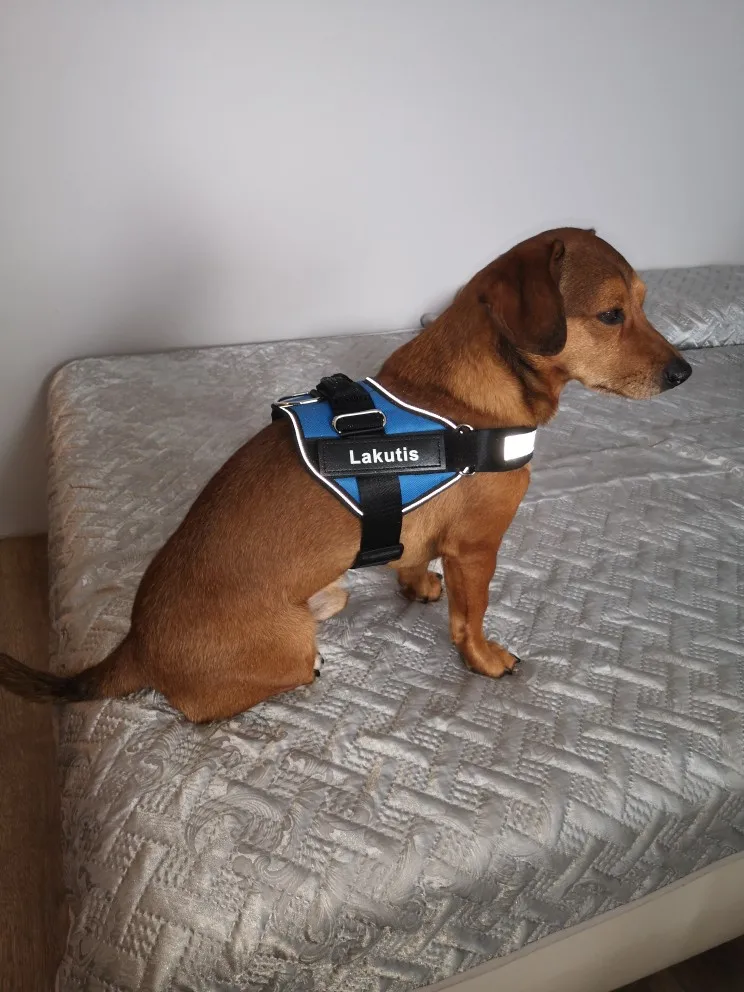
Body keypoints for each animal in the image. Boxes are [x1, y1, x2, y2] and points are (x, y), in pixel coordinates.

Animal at [0, 228, 691, 722]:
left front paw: (416, 584)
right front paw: (484, 659)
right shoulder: (477, 549)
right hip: (292, 643)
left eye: (644, 304)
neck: (462, 401)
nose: (684, 373)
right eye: (611, 315)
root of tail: (136, 644)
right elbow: (471, 617)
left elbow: (414, 558)